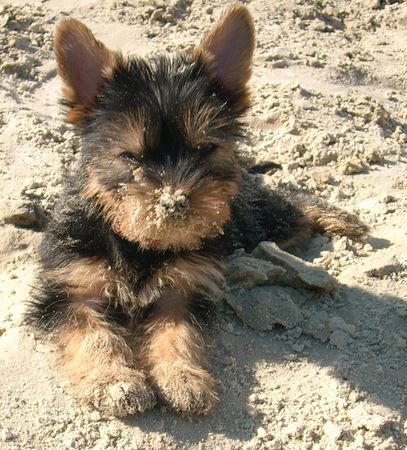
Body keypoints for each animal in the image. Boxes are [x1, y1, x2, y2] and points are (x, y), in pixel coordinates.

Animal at [27, 4, 366, 418]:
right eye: (130, 157)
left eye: (205, 149)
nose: (174, 201)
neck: (141, 245)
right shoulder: (72, 287)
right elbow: (91, 332)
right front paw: (114, 380)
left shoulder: (182, 290)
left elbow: (178, 334)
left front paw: (182, 377)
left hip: (246, 215)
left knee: (286, 209)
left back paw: (337, 220)